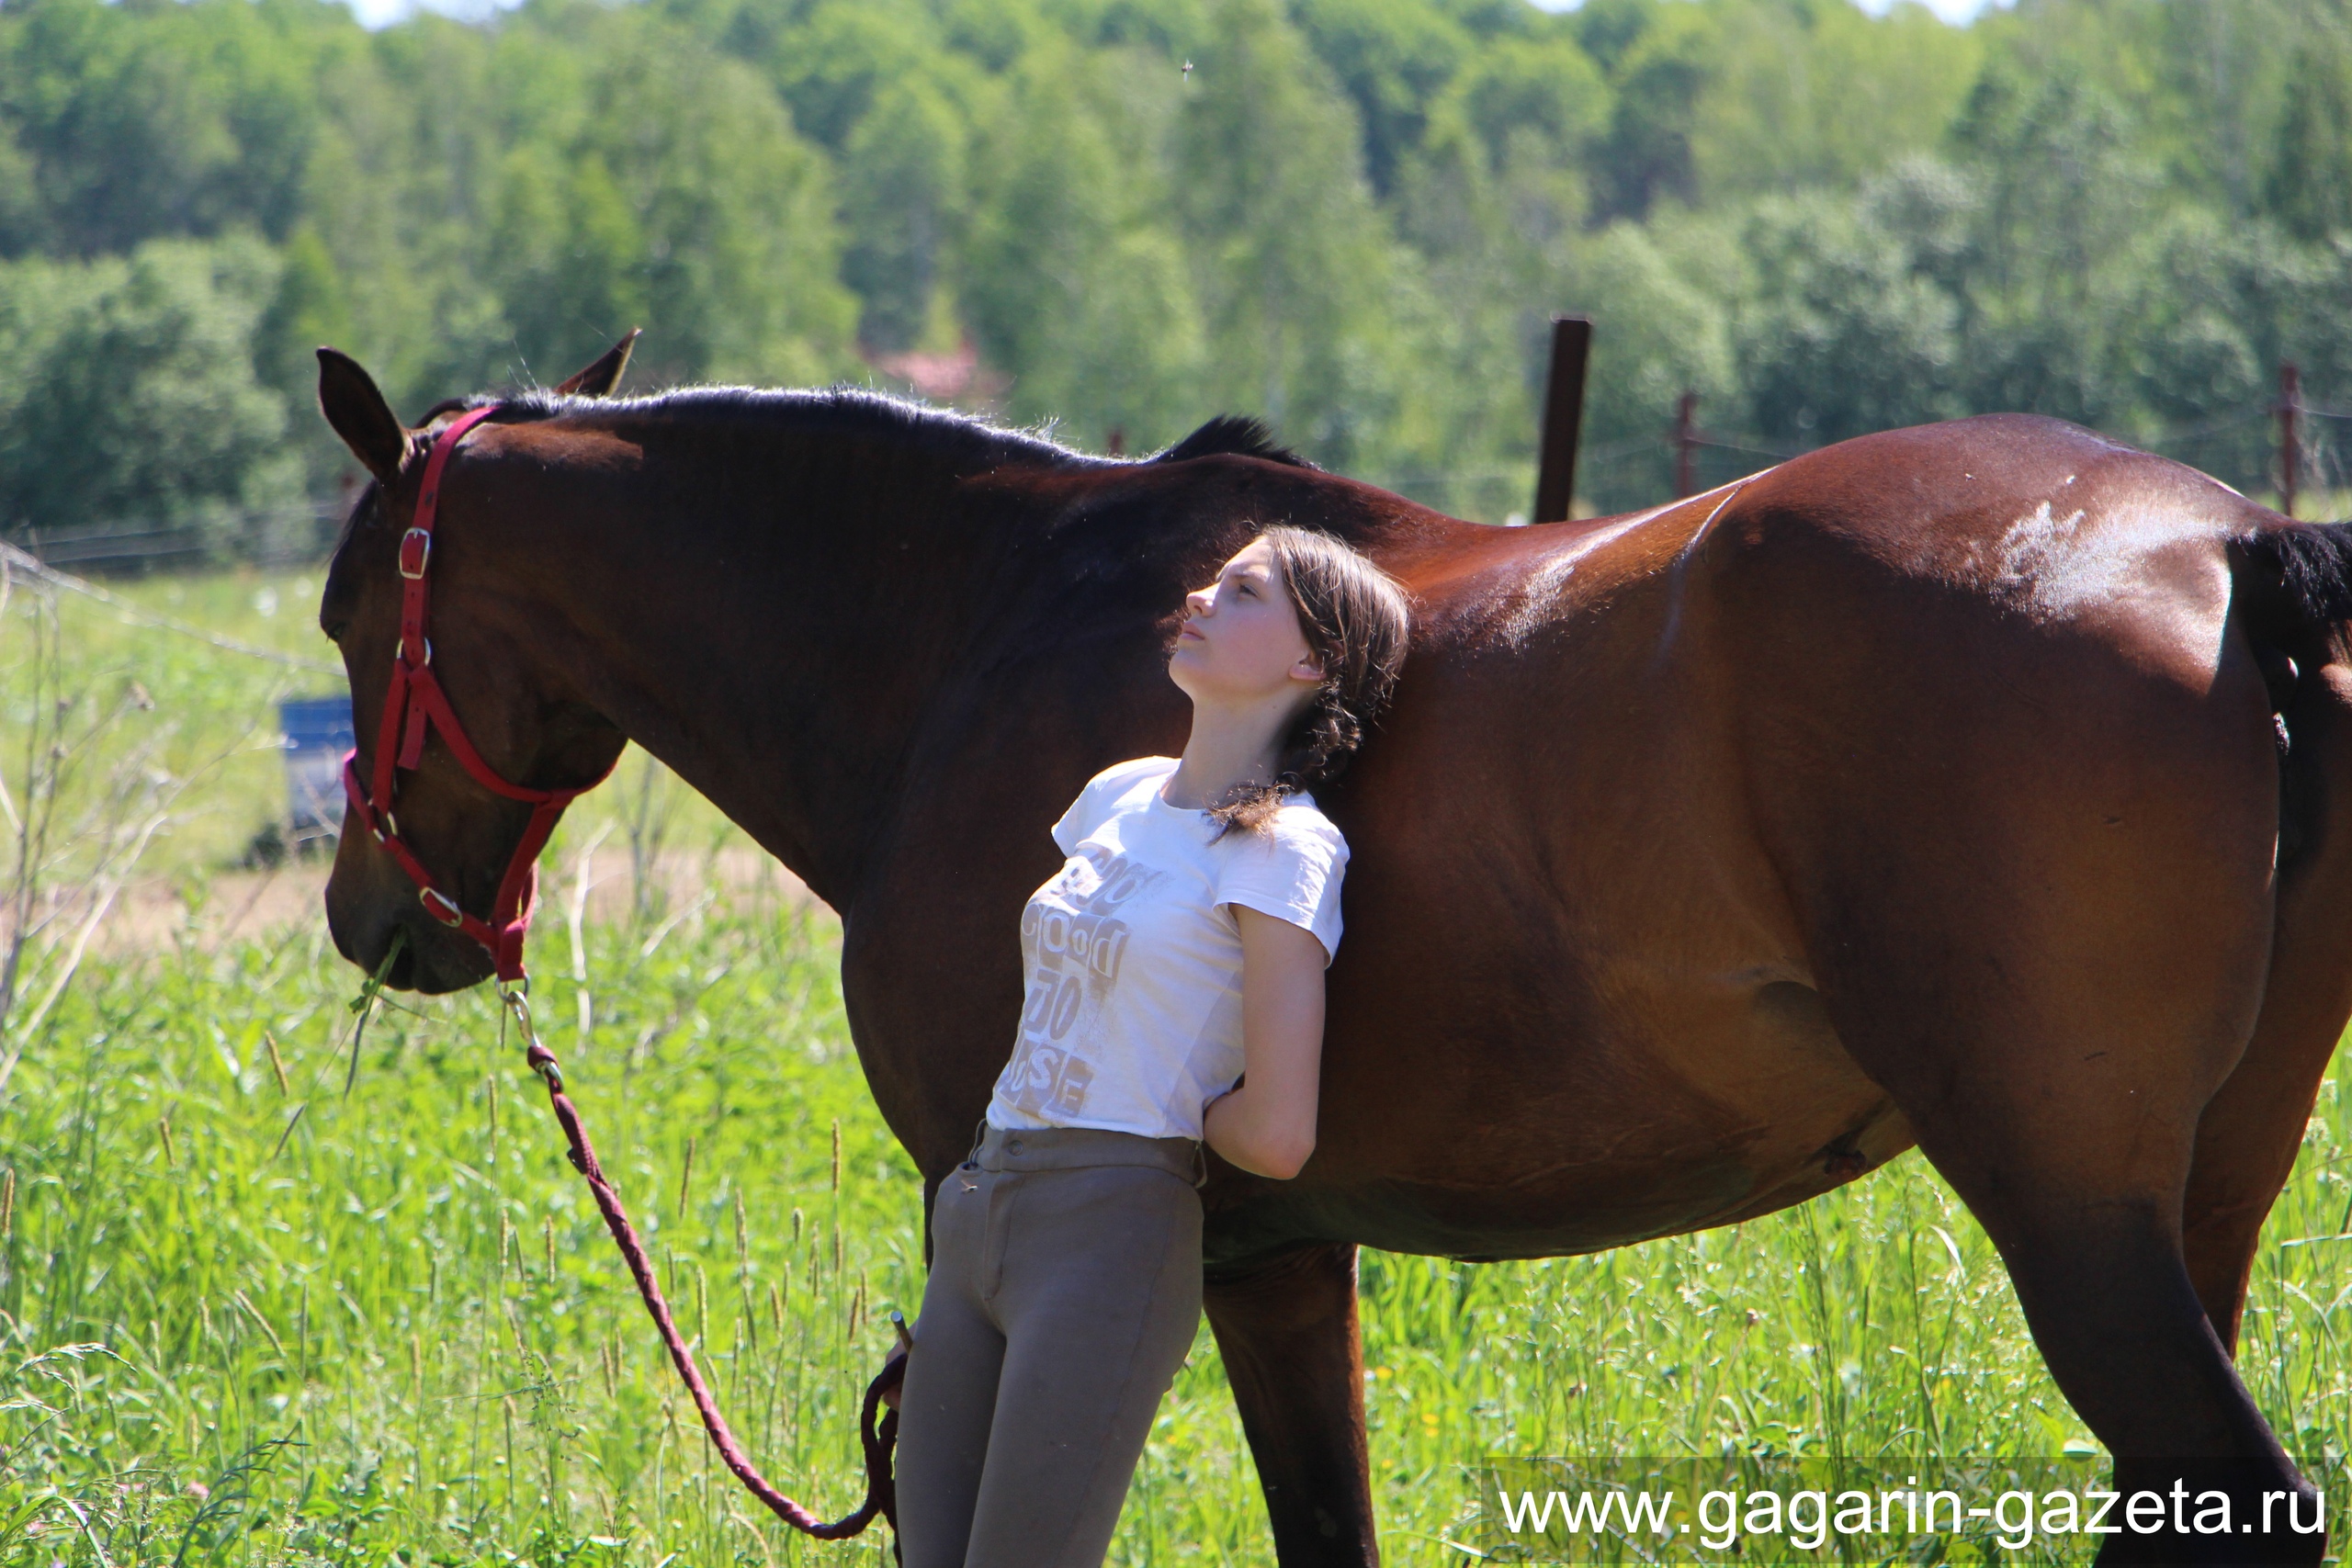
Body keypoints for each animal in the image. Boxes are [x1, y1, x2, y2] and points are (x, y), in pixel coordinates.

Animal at [312, 338, 2352, 1561]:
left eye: (346, 610)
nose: (376, 915)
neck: (984, 634)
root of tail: (2234, 544)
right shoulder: (1283, 1250)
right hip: (2198, 1197)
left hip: (2069, 1209)